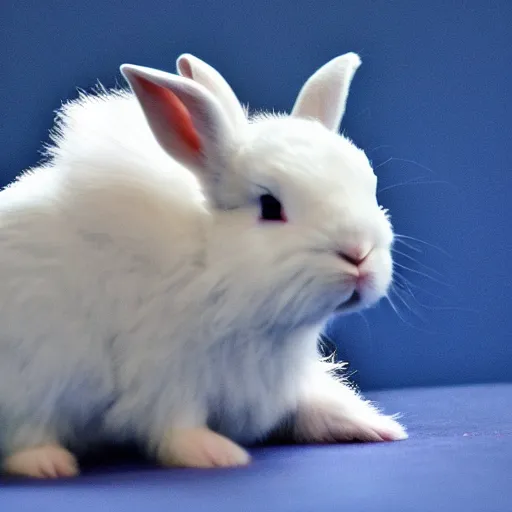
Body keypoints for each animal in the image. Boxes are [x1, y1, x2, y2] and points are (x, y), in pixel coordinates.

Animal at [0, 51, 408, 476]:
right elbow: (177, 424)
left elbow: (317, 406)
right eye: (270, 206)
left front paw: (374, 426)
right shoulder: (165, 374)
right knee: (25, 432)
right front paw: (215, 453)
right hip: (33, 375)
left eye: (367, 185)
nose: (358, 254)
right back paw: (48, 463)